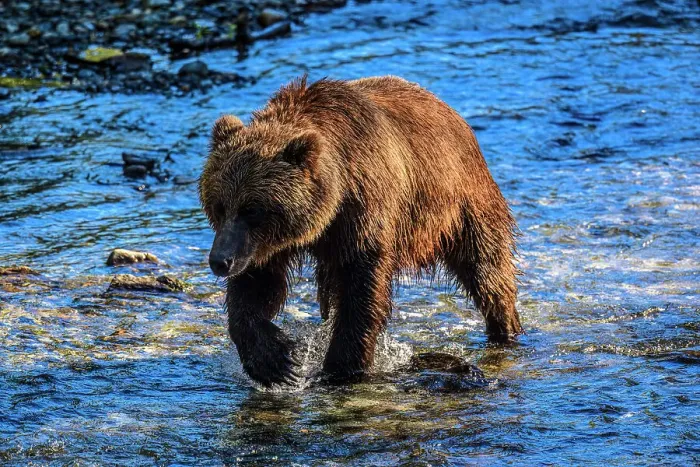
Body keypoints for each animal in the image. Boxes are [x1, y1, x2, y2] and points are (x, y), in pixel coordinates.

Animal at [198, 76, 521, 387]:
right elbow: (257, 287)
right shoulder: (268, 245)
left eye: (252, 209)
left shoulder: (362, 214)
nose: (220, 260)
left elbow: (362, 289)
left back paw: (505, 328)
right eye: (219, 206)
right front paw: (276, 362)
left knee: (486, 269)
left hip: (462, 205)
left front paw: (341, 366)